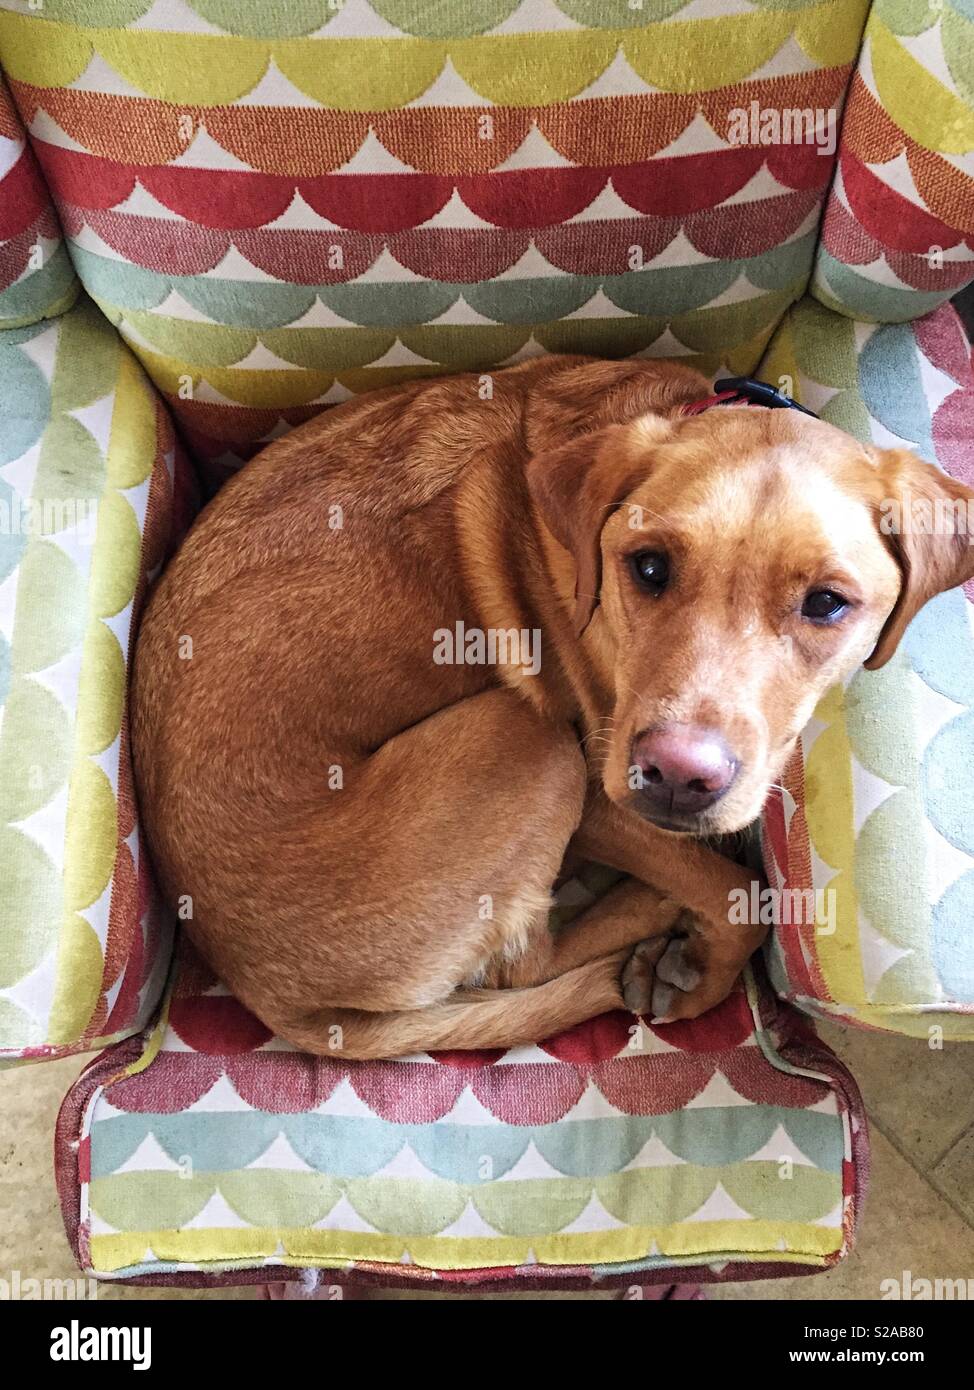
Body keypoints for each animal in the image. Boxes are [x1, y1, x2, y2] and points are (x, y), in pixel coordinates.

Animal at [132, 355, 972, 1050]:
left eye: (827, 604)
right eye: (649, 566)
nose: (676, 777)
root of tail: (265, 994)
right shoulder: (603, 796)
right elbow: (742, 894)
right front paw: (700, 972)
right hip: (530, 740)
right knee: (526, 968)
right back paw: (648, 918)